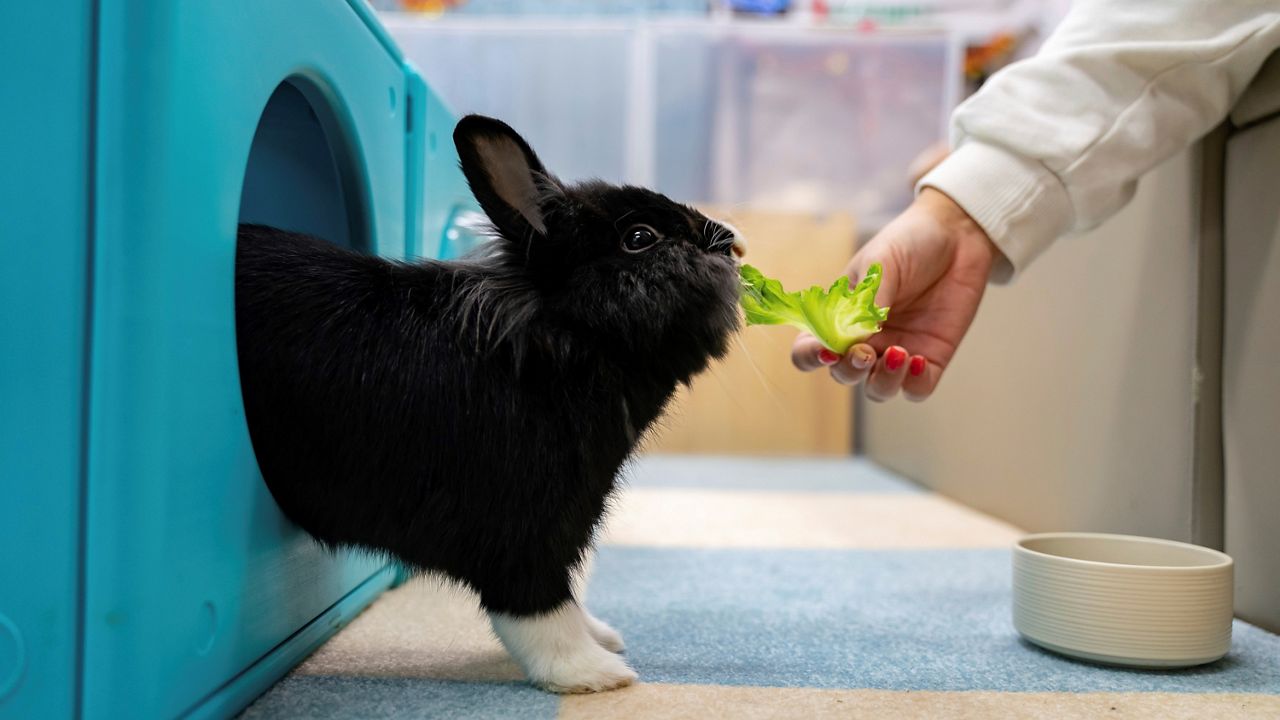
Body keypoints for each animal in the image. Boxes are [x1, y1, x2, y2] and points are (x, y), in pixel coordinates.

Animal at [234, 115, 744, 693]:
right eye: (641, 238)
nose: (731, 241)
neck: (560, 343)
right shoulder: (524, 526)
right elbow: (538, 607)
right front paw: (594, 672)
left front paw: (602, 636)